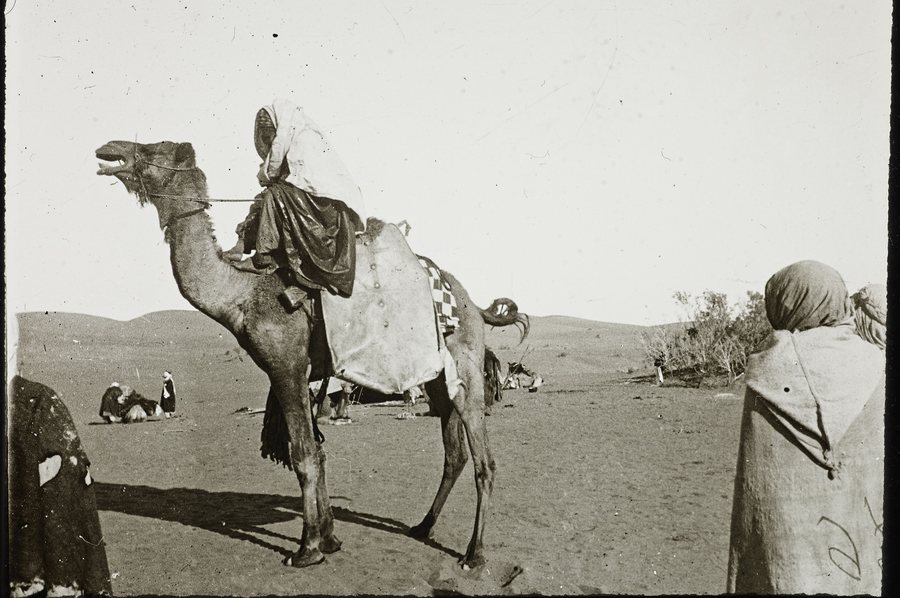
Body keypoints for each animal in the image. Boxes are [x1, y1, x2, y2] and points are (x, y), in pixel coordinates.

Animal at [95, 140, 529, 569]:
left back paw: (474, 554)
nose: (109, 150)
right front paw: (330, 537)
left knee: (484, 461)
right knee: (454, 454)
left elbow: (303, 455)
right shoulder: (301, 373)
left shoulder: (285, 366)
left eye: (155, 149)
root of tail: (473, 305)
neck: (242, 296)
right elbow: (318, 453)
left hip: (467, 367)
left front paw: (307, 548)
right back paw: (422, 527)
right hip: (438, 378)